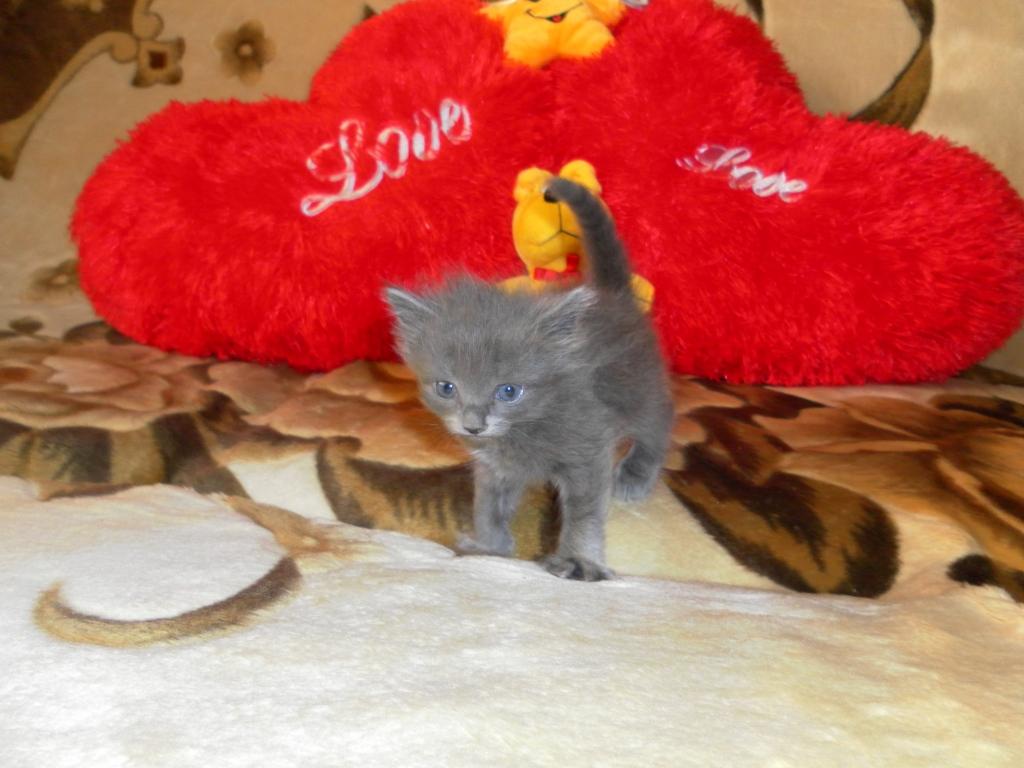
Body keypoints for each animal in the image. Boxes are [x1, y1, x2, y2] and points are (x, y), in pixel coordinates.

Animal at [384, 177, 673, 581]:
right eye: (446, 388)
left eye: (509, 391)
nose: (473, 425)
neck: (524, 426)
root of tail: (612, 296)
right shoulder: (494, 466)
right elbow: (488, 505)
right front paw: (490, 547)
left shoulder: (587, 449)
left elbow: (583, 513)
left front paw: (579, 560)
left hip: (640, 385)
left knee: (657, 422)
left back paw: (636, 475)